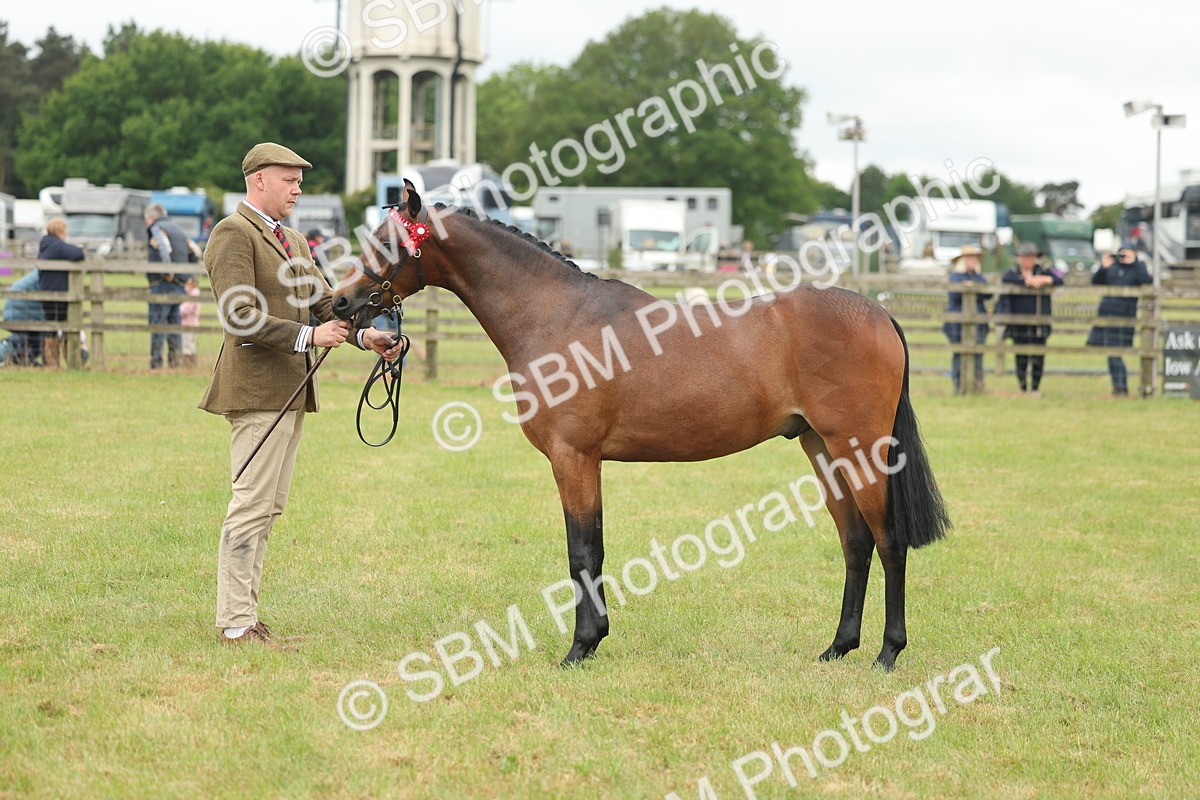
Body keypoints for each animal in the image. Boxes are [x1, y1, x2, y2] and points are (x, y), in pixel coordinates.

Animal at [331, 181, 950, 671]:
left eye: (387, 244)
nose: (337, 304)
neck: (557, 316)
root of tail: (879, 313)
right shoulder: (586, 461)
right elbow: (595, 548)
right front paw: (594, 640)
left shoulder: (573, 456)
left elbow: (582, 551)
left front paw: (580, 647)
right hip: (822, 448)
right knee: (855, 542)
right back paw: (837, 647)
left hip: (861, 447)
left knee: (889, 541)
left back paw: (887, 653)